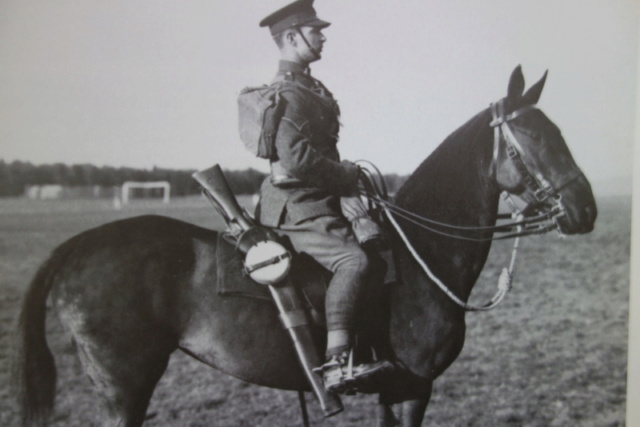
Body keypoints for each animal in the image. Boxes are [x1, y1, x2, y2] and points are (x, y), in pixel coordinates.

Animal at [15, 67, 596, 427]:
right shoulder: (415, 385)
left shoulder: (395, 390)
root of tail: (75, 247)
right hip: (125, 386)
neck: (421, 252)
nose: (585, 208)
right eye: (534, 136)